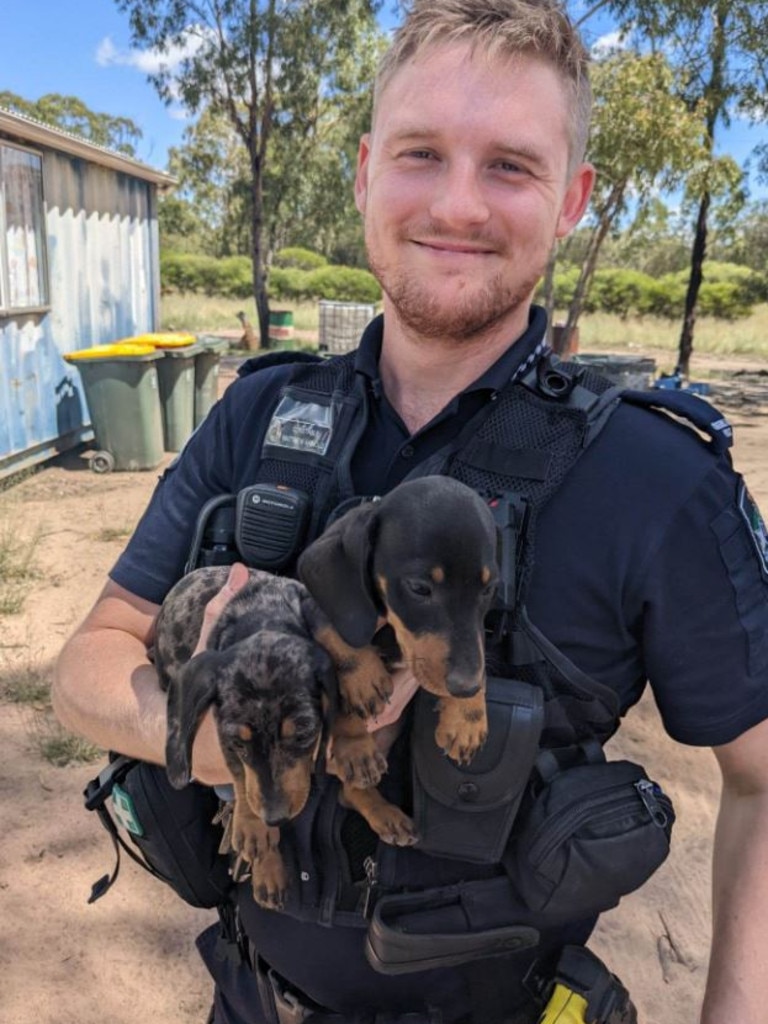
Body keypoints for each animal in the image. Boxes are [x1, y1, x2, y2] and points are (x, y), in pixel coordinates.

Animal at [294, 475, 499, 786]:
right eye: (419, 588)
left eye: (488, 589)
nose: (466, 688)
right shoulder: (314, 609)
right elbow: (340, 635)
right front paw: (363, 686)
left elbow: (479, 649)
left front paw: (468, 717)